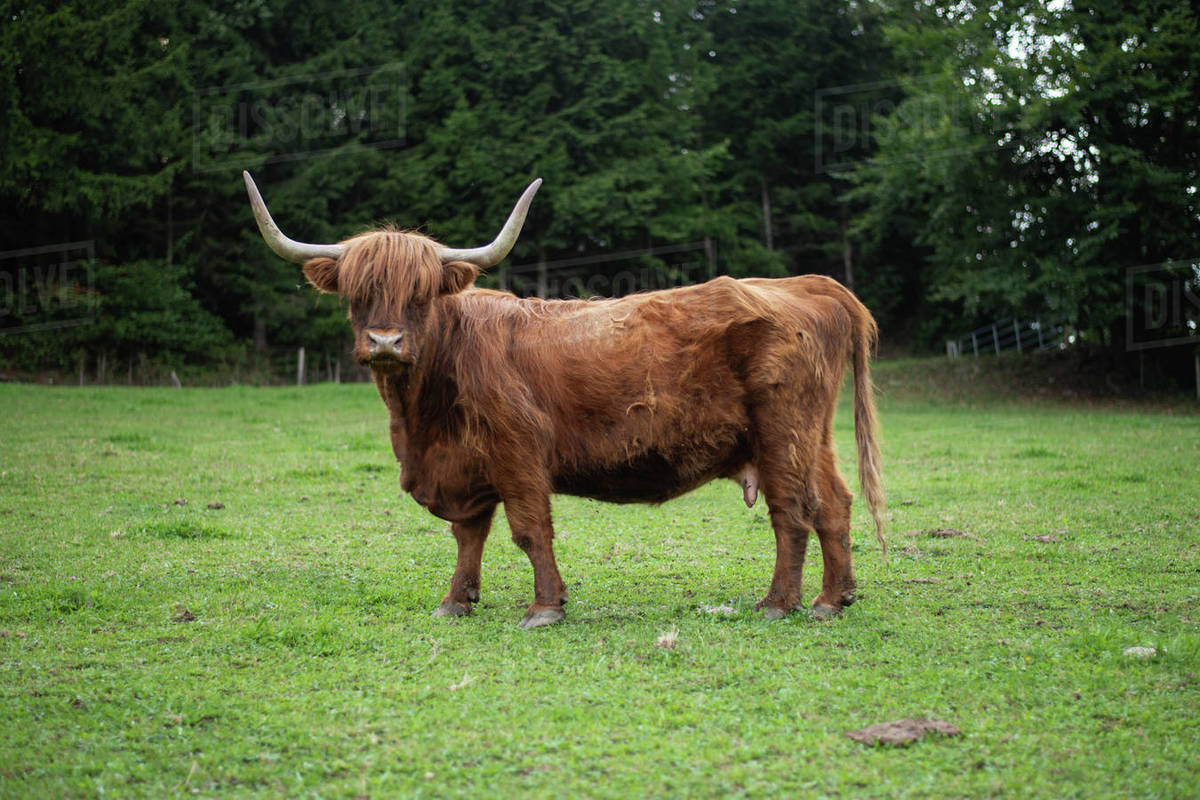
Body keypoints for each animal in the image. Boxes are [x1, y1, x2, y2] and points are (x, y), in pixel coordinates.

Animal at [243, 172, 885, 629]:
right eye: (357, 293)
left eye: (421, 293)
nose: (384, 342)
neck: (420, 420)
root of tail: (806, 285)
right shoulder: (465, 468)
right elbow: (468, 536)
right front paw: (456, 601)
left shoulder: (517, 452)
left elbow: (530, 529)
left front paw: (545, 607)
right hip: (812, 436)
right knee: (834, 504)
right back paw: (833, 599)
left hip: (782, 433)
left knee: (792, 511)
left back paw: (779, 602)